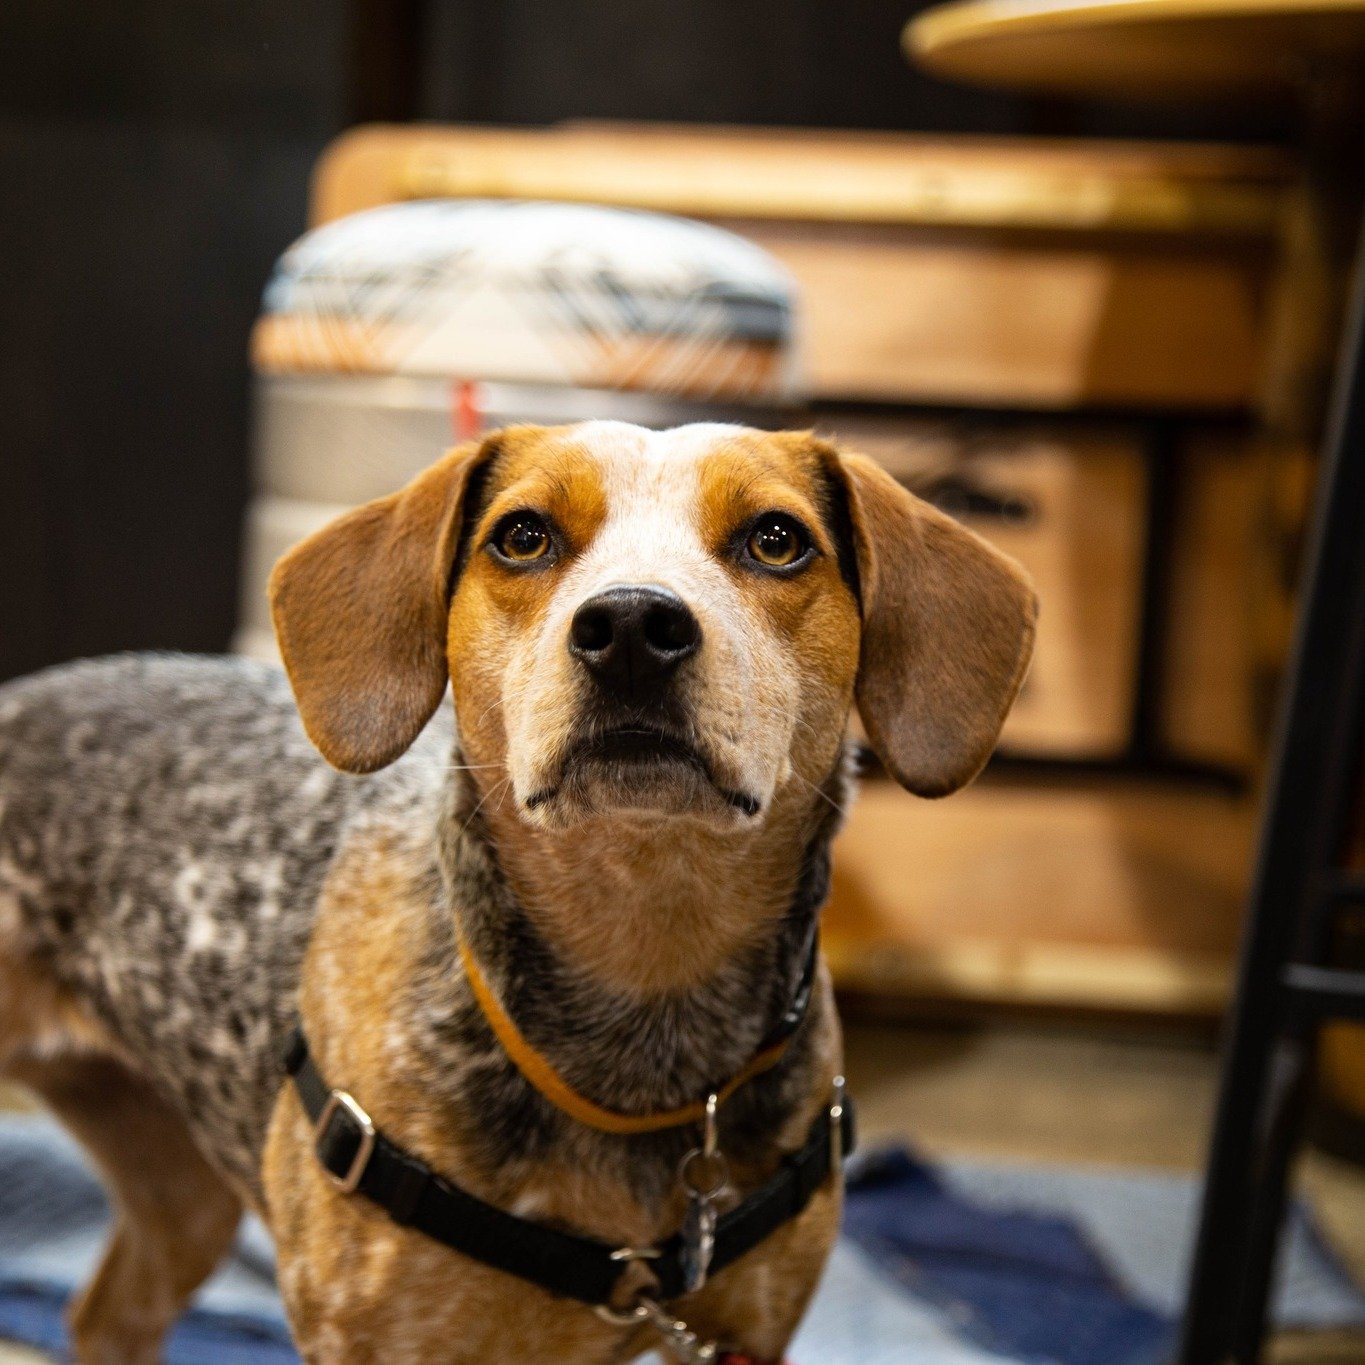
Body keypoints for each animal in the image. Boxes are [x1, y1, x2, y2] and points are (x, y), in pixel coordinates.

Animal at [0, 420, 1026, 1359]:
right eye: (522, 535)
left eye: (776, 540)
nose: (631, 627)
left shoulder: (749, 1336)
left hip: (179, 1188)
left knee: (106, 1316)